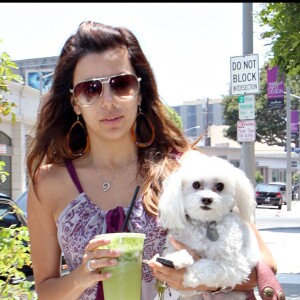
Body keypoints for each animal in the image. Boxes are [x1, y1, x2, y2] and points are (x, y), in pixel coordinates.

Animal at [159, 151, 260, 298]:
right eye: (196, 185)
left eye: (220, 186)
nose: (207, 199)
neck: (205, 224)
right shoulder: (175, 244)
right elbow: (175, 254)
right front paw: (178, 258)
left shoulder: (233, 266)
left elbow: (206, 266)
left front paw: (189, 276)